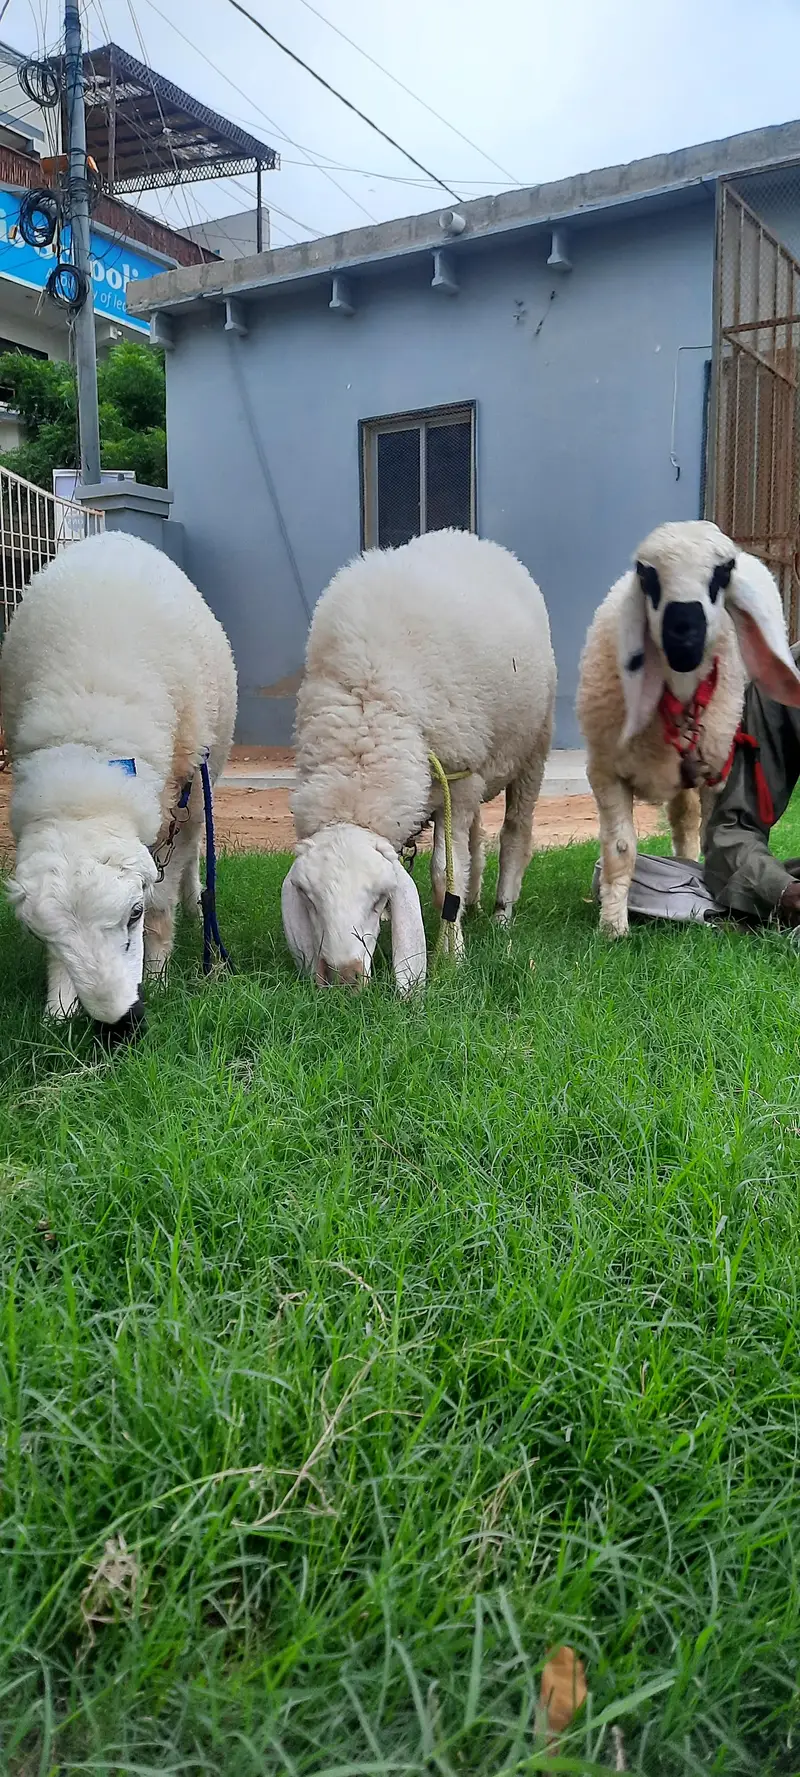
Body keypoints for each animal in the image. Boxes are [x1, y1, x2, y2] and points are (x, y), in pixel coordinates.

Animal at [0, 530, 237, 1037]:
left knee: (195, 857)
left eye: (134, 913)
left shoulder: (179, 807)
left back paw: (197, 903)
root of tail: (114, 534)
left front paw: (160, 973)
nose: (122, 1022)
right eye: (40, 933)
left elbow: (163, 901)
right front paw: (59, 1006)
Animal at [282, 528, 556, 991]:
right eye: (310, 900)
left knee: (514, 834)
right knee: (475, 840)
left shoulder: (457, 781)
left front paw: (453, 956)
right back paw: (475, 900)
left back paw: (501, 914)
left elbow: (444, 875)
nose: (344, 978)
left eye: (377, 899)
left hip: (531, 748)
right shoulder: (462, 780)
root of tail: (470, 538)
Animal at [576, 519, 800, 937]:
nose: (683, 633)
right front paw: (613, 927)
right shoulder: (606, 771)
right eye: (646, 574)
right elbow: (620, 851)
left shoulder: (718, 775)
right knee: (680, 819)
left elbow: (713, 836)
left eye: (724, 572)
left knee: (686, 822)